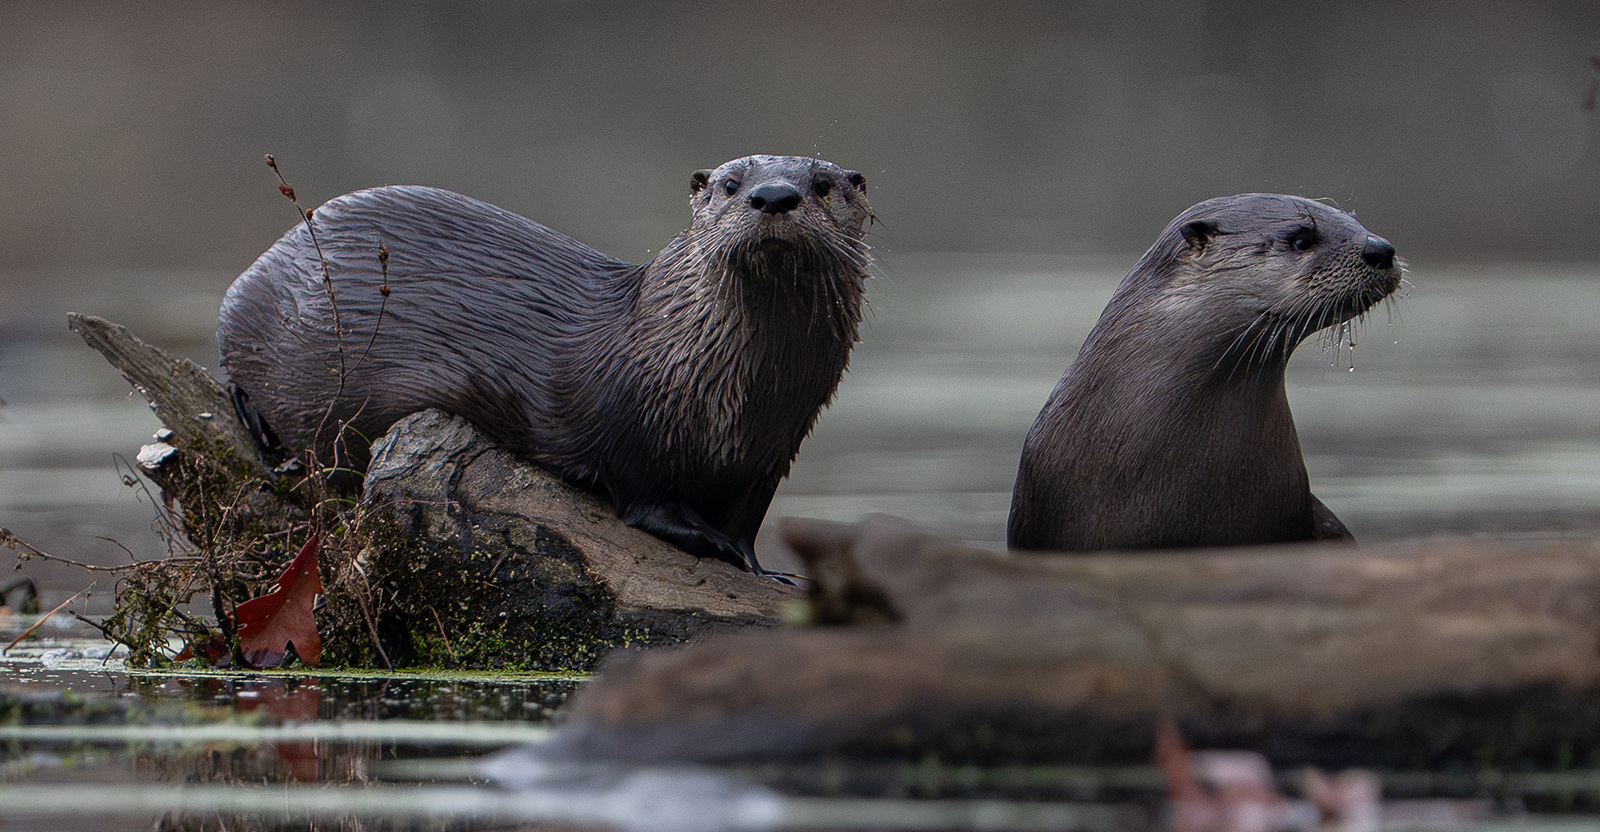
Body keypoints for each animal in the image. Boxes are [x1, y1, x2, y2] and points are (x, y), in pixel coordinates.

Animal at [219, 155, 872, 576]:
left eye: (822, 185)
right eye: (732, 184)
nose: (774, 197)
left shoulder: (771, 453)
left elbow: (746, 522)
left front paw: (764, 566)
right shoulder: (637, 431)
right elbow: (648, 502)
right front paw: (714, 544)